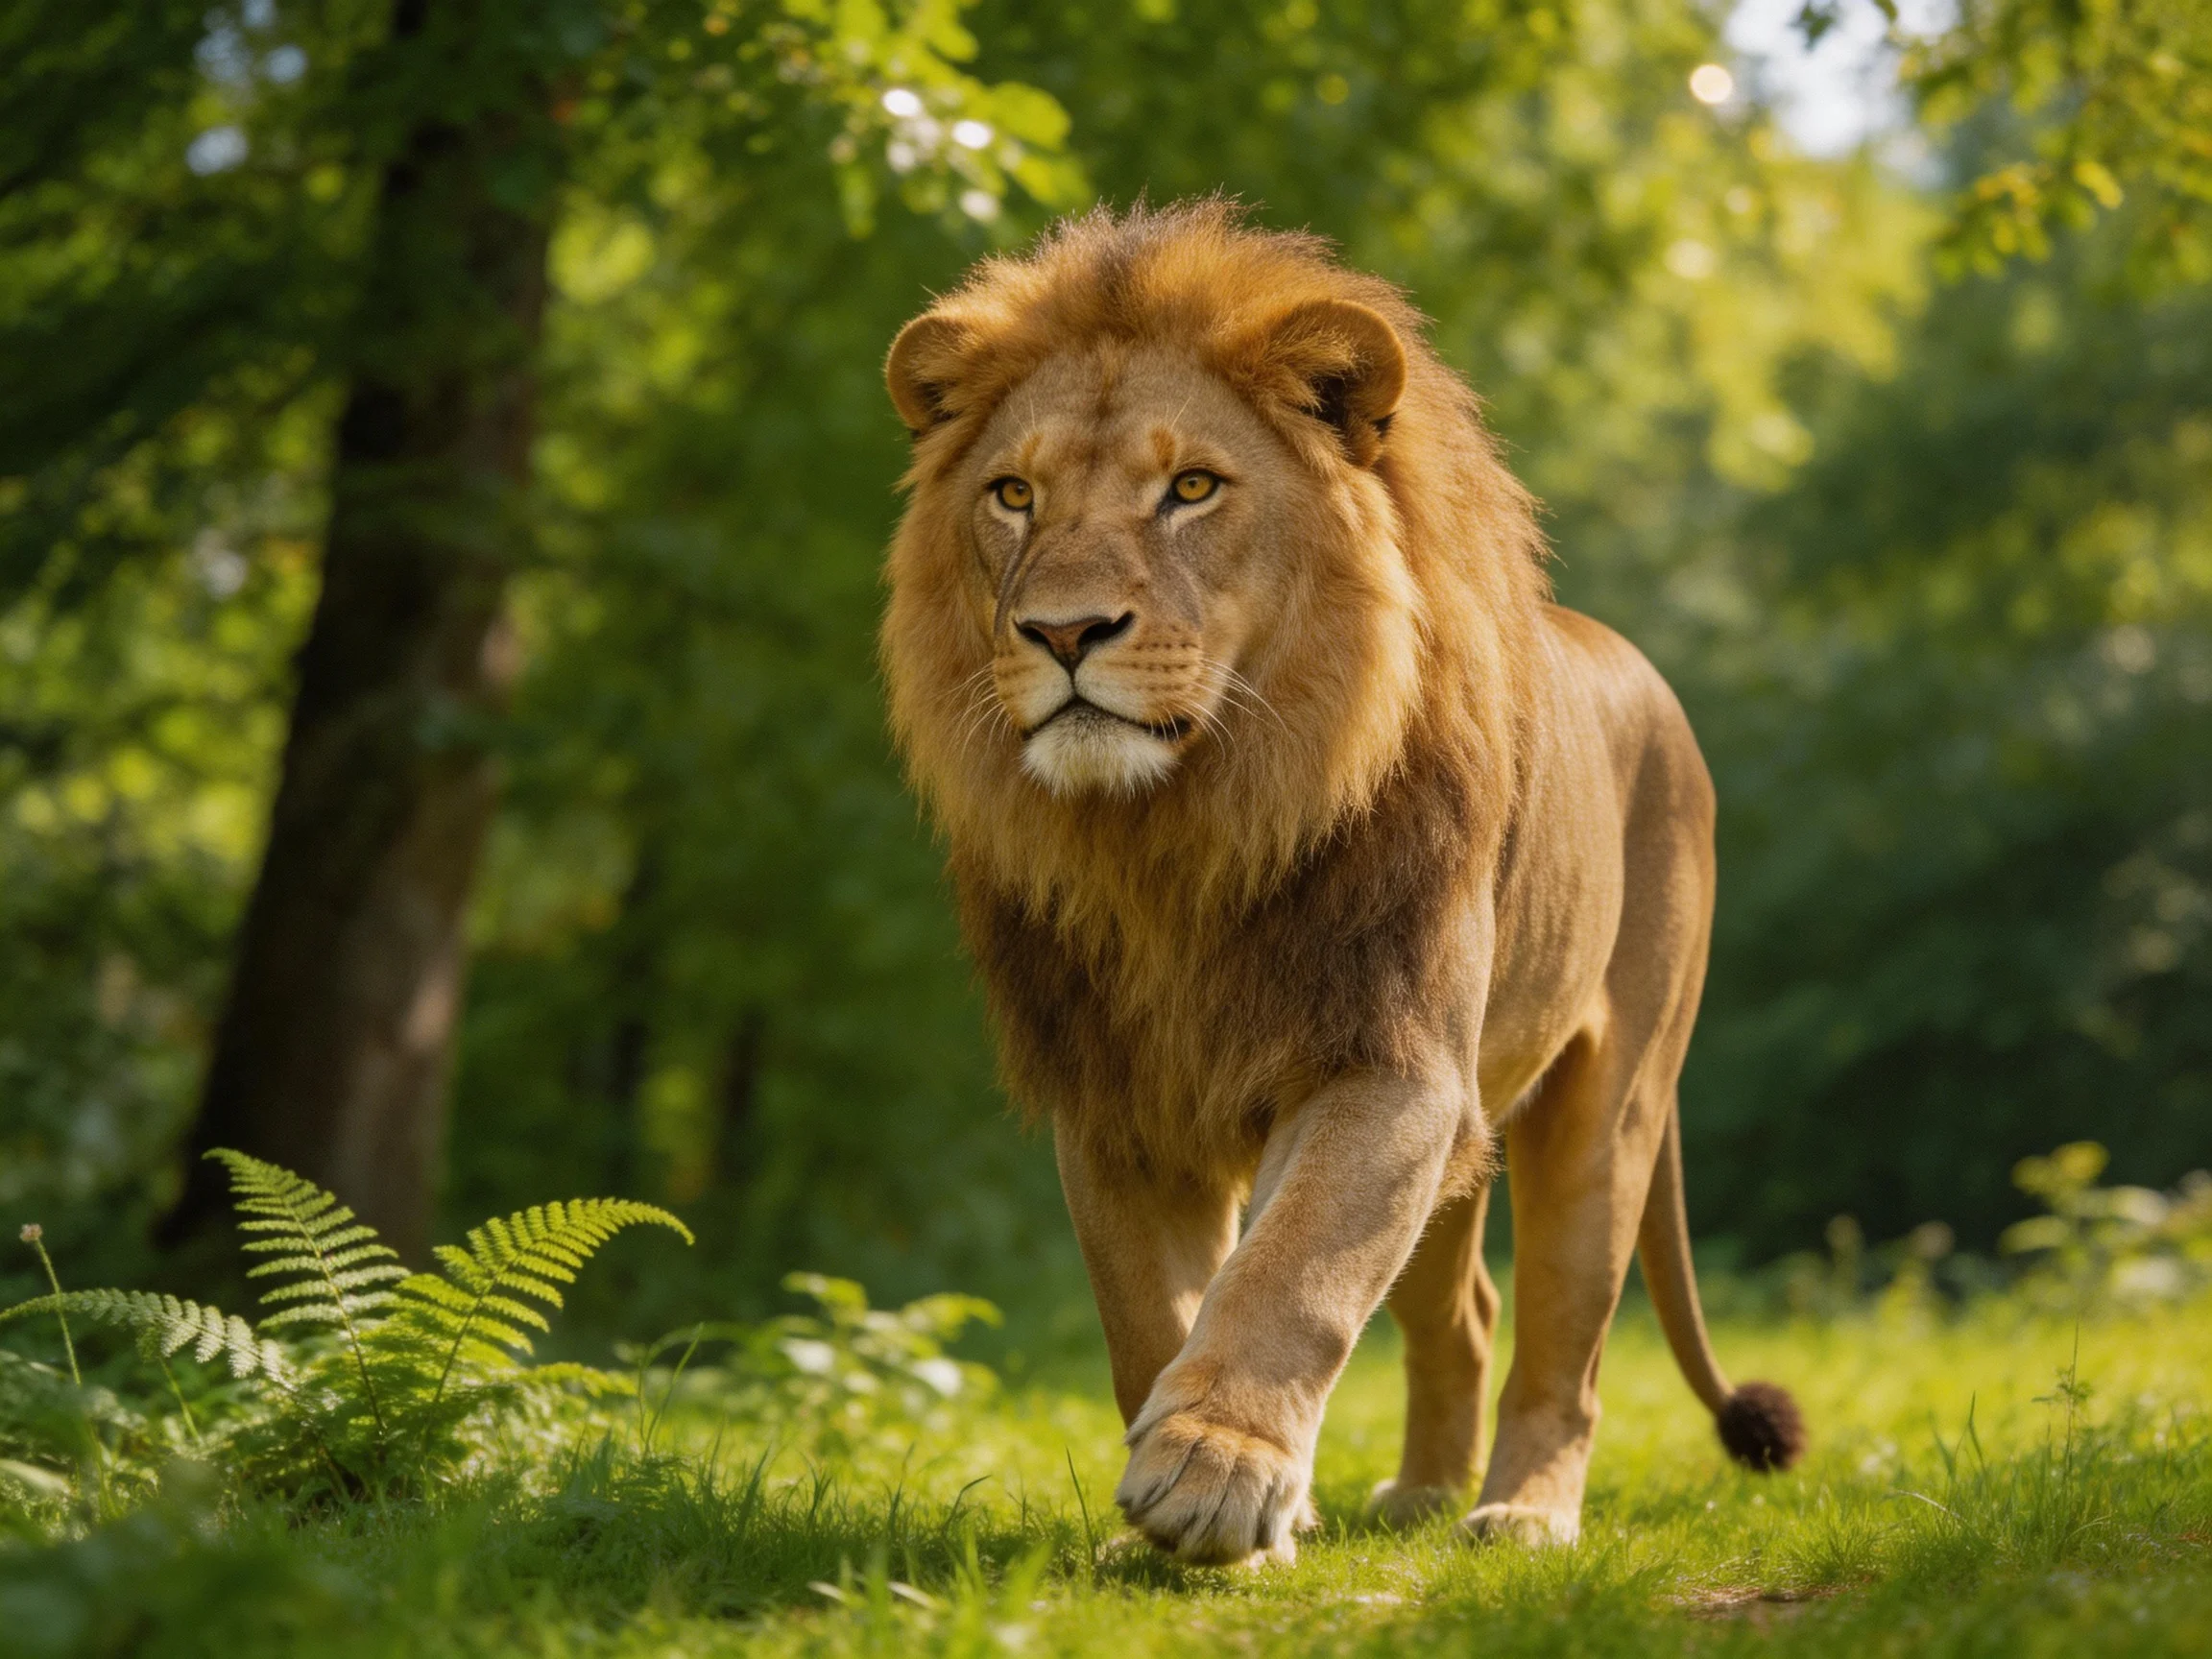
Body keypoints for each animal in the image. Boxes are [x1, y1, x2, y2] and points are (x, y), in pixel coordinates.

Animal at [879, 201, 1803, 1566]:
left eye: (1191, 487)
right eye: (1013, 495)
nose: (1061, 632)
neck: (1174, 836)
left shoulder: (1392, 1065)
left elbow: (1294, 1270)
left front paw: (1215, 1471)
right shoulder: (1111, 1104)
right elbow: (1149, 1312)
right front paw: (1199, 1518)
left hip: (1611, 1103)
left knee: (1566, 1340)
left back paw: (1523, 1514)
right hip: (1474, 1136)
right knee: (1465, 1310)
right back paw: (1418, 1495)